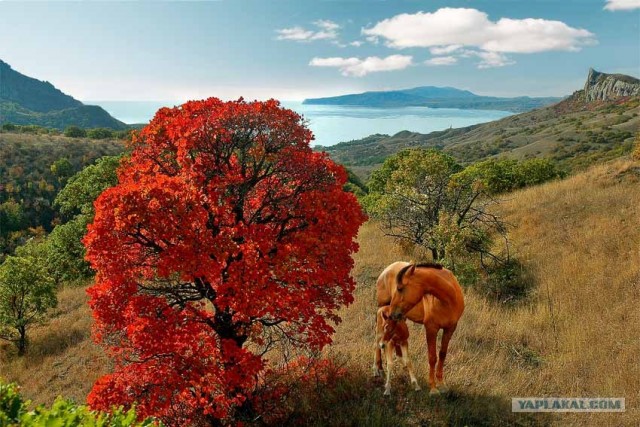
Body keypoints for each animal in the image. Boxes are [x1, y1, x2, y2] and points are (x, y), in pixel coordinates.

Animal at [376, 262, 464, 396]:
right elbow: (432, 357)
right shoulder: (431, 329)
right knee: (377, 340)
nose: (392, 313)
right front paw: (433, 388)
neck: (449, 299)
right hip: (382, 312)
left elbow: (442, 354)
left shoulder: (450, 329)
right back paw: (378, 369)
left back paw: (402, 362)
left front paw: (442, 384)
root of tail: (387, 269)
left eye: (400, 288)